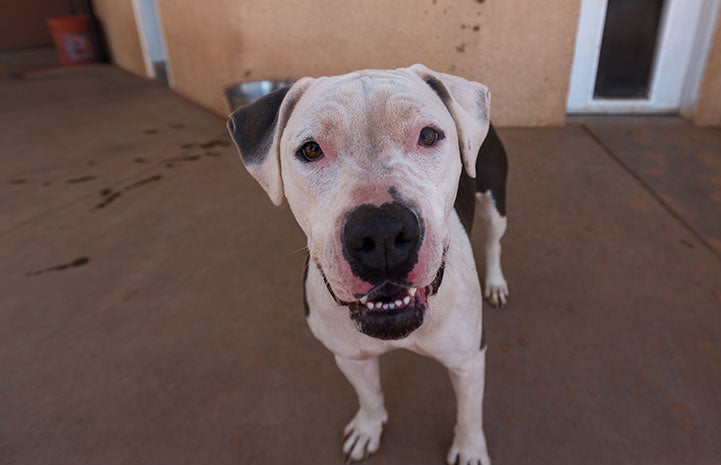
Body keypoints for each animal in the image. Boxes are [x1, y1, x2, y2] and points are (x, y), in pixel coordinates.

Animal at [226, 63, 506, 462]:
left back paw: (496, 283)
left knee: (495, 243)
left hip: (495, 203)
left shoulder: (467, 361)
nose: (383, 231)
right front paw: (368, 428)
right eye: (310, 149)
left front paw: (468, 450)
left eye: (429, 135)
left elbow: (469, 412)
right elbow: (369, 395)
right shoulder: (349, 357)